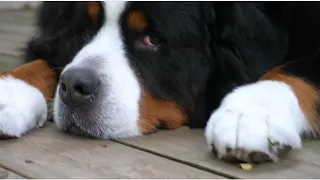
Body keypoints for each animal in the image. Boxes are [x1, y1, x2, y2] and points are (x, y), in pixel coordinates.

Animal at [0, 1, 320, 164]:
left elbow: (292, 70)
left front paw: (250, 114)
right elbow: (45, 56)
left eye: (152, 39)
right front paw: (10, 91)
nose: (73, 86)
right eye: (85, 30)